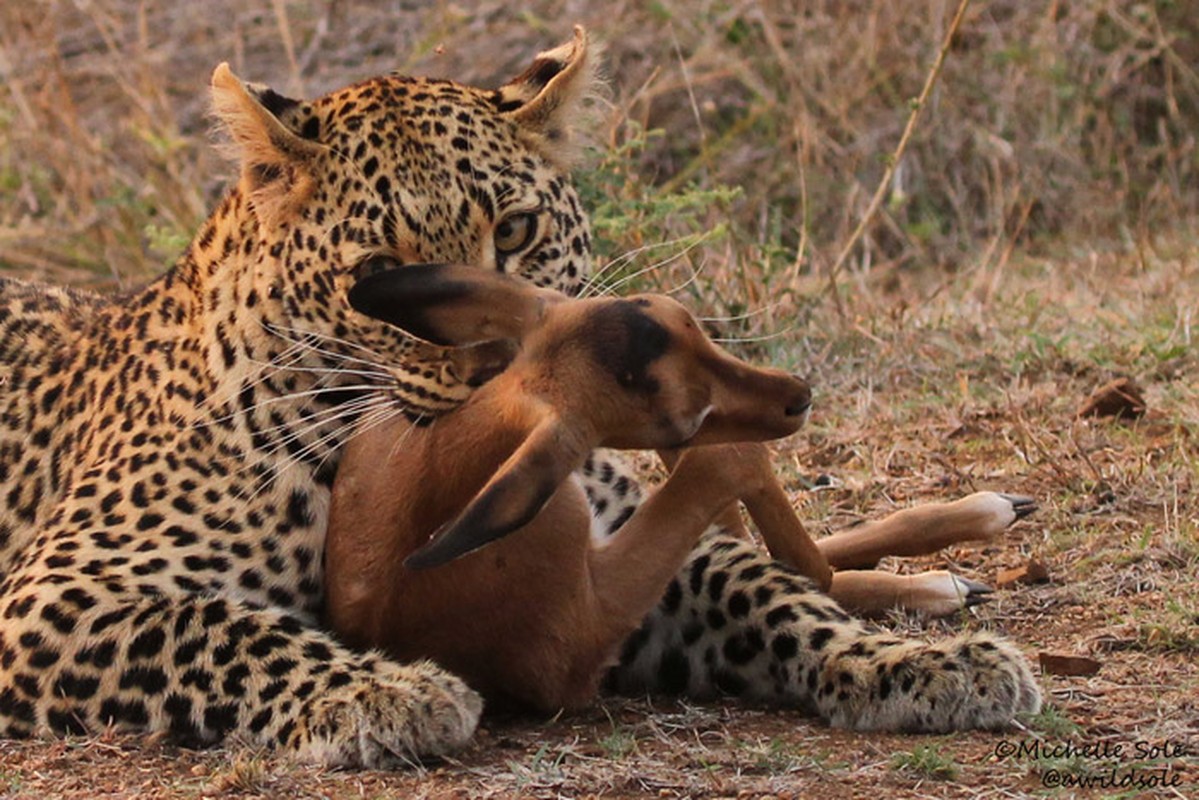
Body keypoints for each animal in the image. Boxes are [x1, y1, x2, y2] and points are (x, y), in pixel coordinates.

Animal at [326, 263, 1031, 714]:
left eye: (689, 322)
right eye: (682, 413)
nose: (799, 396)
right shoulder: (588, 633)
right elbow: (730, 465)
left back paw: (978, 530)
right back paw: (951, 577)